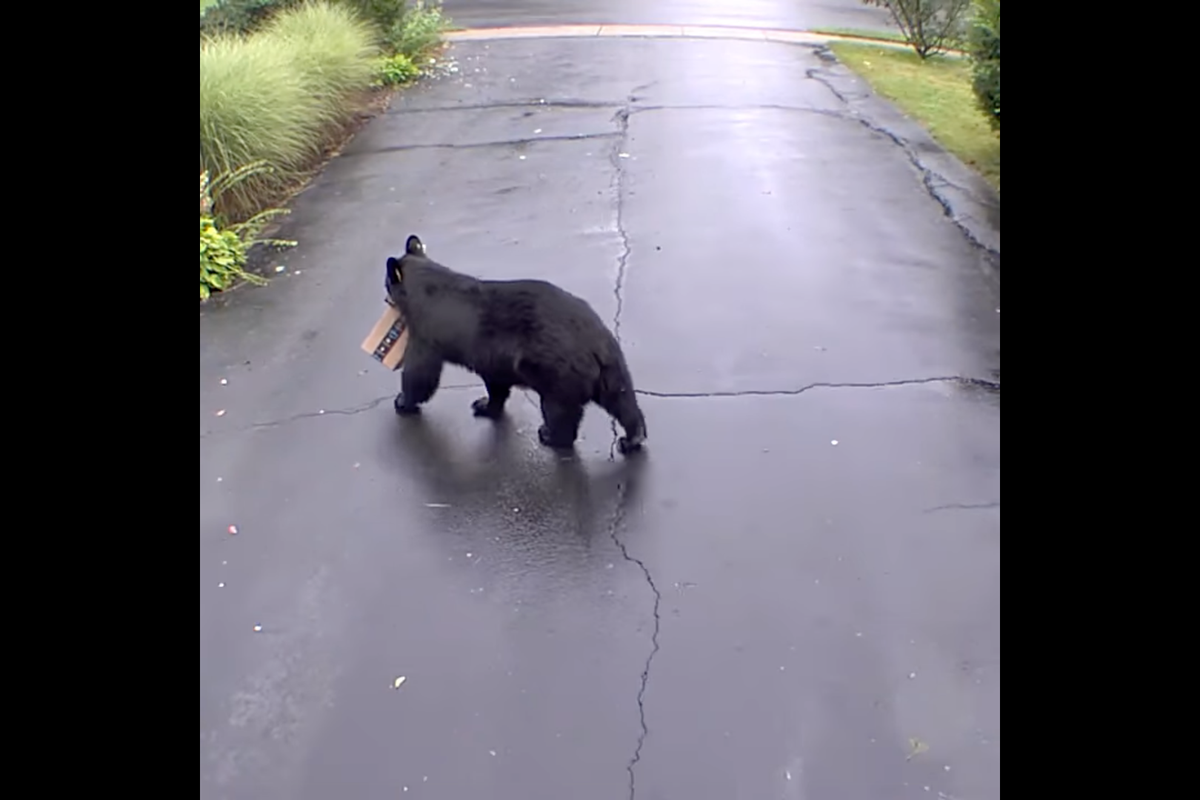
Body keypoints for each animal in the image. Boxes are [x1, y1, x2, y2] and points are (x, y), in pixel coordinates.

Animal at [384, 235, 647, 455]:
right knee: (621, 399)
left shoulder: (428, 331)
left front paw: (402, 401)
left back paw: (550, 435)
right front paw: (484, 405)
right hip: (611, 367)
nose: (386, 298)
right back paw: (632, 438)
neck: (425, 287)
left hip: (555, 371)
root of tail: (594, 343)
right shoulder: (492, 354)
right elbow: (496, 381)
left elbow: (420, 371)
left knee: (560, 409)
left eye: (386, 282)